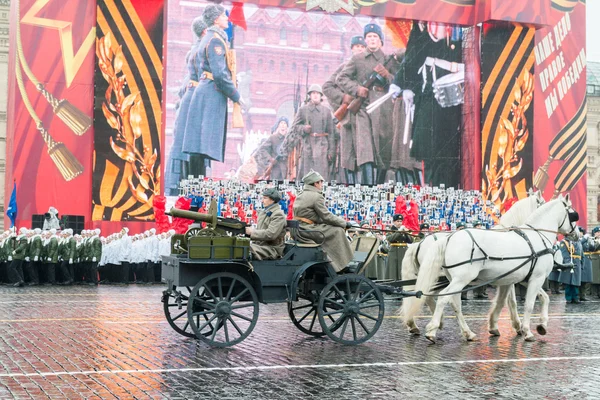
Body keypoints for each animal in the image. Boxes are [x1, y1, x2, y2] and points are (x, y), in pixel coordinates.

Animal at [406, 195, 580, 342]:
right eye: (573, 214)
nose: (577, 234)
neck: (536, 237)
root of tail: (448, 238)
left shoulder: (521, 279)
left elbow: (541, 298)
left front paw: (541, 325)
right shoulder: (536, 278)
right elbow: (528, 304)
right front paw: (526, 330)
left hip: (454, 280)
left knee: (452, 302)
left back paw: (466, 332)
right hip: (460, 279)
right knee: (442, 298)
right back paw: (432, 329)